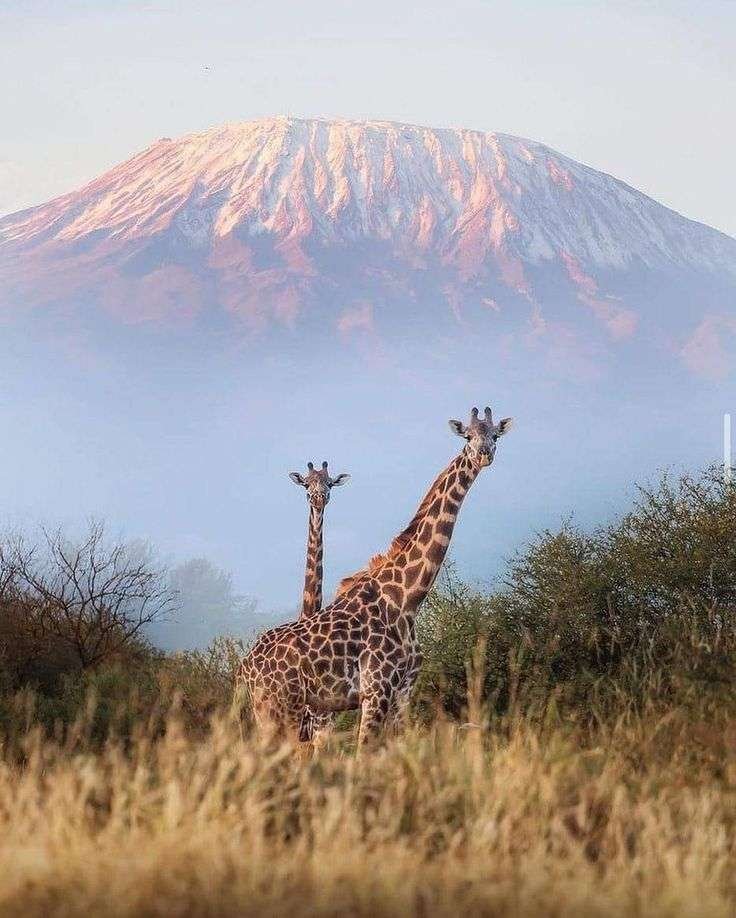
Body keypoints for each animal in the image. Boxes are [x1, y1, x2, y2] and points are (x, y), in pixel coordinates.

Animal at [238, 406, 513, 747]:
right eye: (467, 436)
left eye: (495, 435)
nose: (483, 454)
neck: (407, 597)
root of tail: (246, 665)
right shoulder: (374, 690)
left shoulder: (401, 693)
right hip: (282, 707)